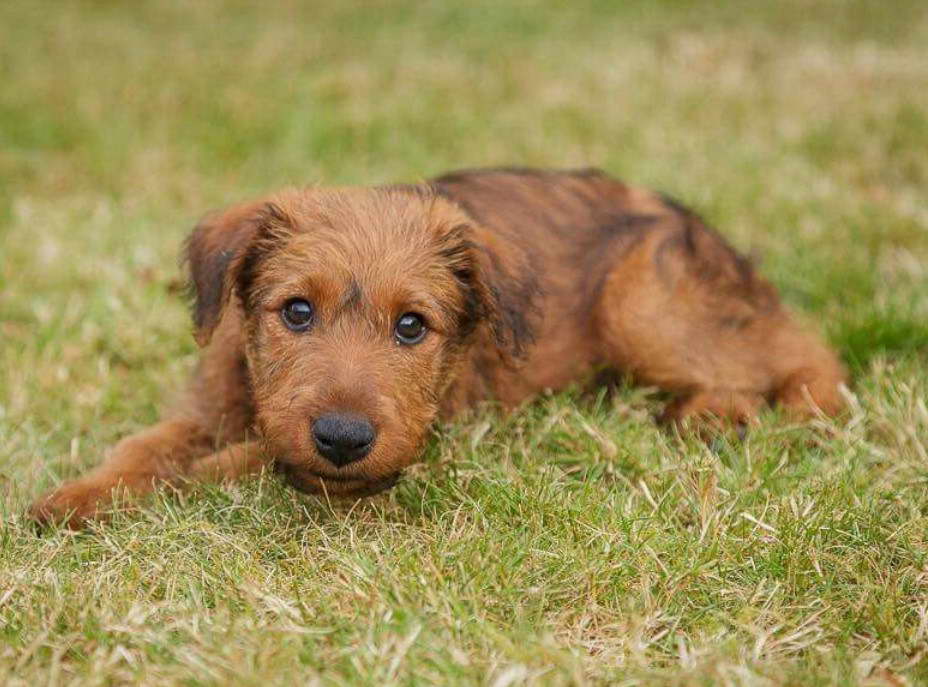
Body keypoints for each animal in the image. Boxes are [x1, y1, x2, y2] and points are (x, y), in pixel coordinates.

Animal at [29, 167, 844, 528]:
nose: (343, 439)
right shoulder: (206, 402)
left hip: (641, 302)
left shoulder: (427, 428)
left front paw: (179, 482)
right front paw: (77, 495)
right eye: (296, 311)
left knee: (799, 352)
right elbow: (144, 445)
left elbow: (229, 463)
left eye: (412, 326)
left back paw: (744, 415)